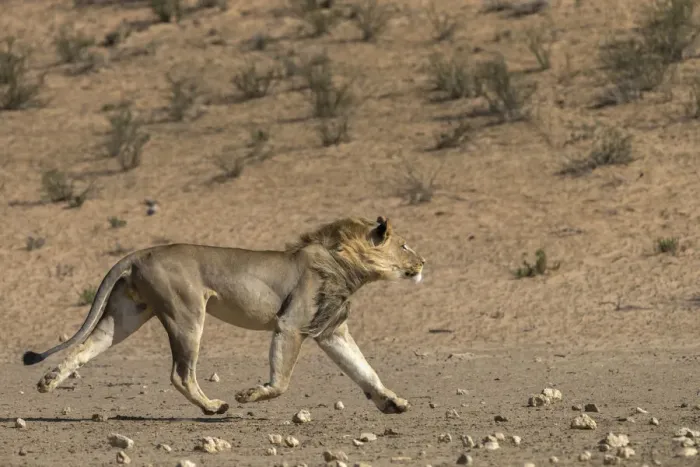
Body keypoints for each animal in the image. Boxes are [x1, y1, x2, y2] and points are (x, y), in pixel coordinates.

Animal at [22, 216, 426, 415]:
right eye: (405, 245)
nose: (423, 262)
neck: (349, 265)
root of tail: (140, 253)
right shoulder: (292, 324)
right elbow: (282, 381)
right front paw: (251, 394)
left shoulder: (332, 331)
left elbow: (365, 370)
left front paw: (392, 403)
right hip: (186, 314)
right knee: (181, 374)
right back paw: (214, 407)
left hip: (126, 316)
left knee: (85, 347)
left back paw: (49, 381)